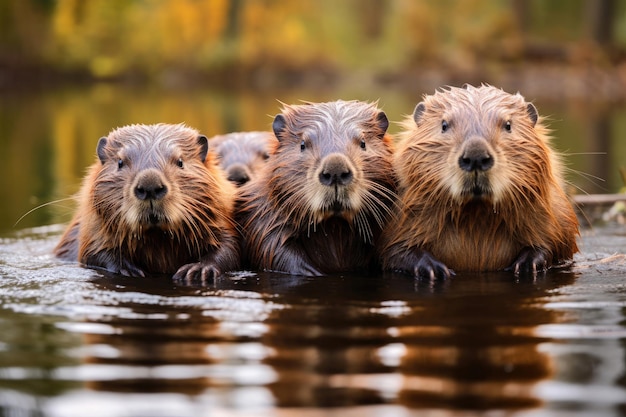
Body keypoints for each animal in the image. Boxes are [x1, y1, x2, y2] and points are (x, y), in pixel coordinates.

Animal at [54, 122, 239, 282]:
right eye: (120, 162)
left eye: (180, 162)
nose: (150, 186)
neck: (158, 240)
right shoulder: (92, 226)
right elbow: (92, 251)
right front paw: (128, 270)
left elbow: (229, 245)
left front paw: (197, 270)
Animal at [234, 100, 394, 276]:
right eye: (303, 145)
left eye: (363, 143)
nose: (335, 169)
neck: (335, 228)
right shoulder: (262, 216)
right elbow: (275, 247)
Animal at [380, 83, 580, 280]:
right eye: (444, 125)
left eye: (508, 125)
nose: (476, 156)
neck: (476, 217)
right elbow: (396, 250)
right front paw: (434, 269)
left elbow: (552, 242)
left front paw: (527, 264)